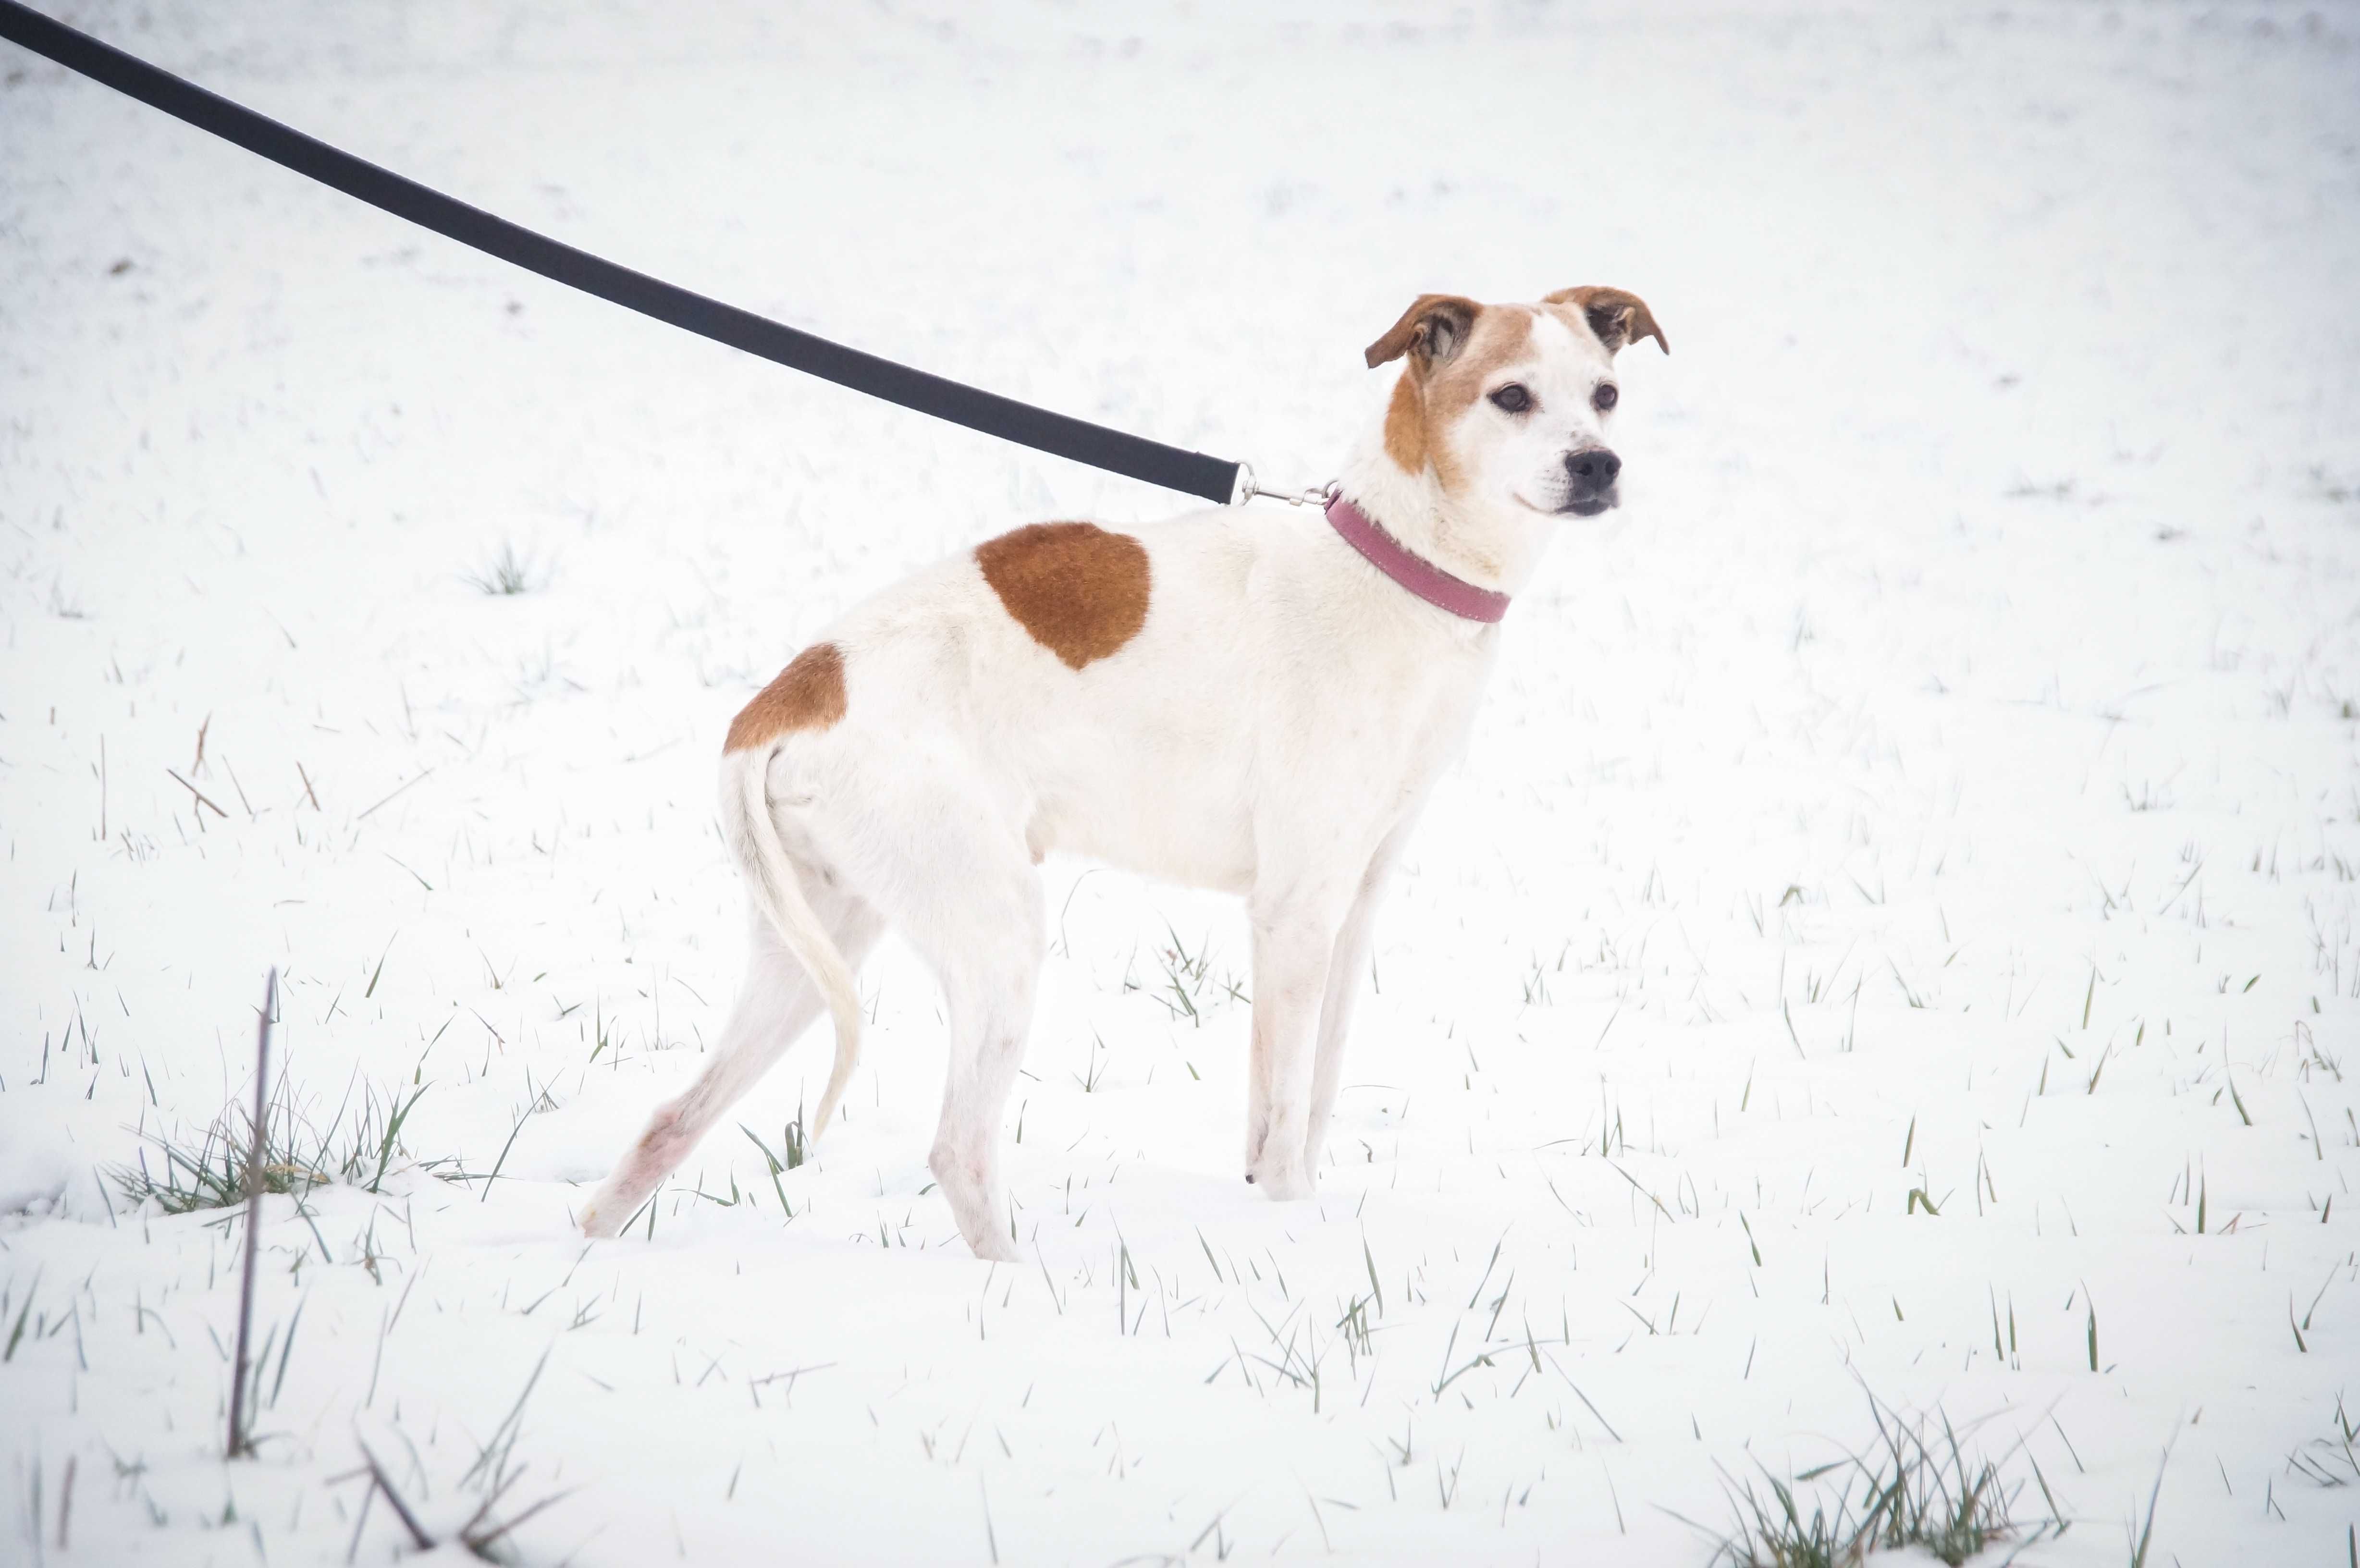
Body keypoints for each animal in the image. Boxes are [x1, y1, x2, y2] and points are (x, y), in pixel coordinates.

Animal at [580, 284, 1671, 1265]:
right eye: (1510, 396)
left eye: (1605, 393)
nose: (1597, 464)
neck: (1396, 561)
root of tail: (792, 693)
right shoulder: (1295, 911)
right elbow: (1284, 1122)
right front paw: (1289, 1237)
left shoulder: (1350, 904)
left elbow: (1302, 1104)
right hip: (993, 935)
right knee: (957, 1148)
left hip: (814, 942)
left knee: (669, 1121)